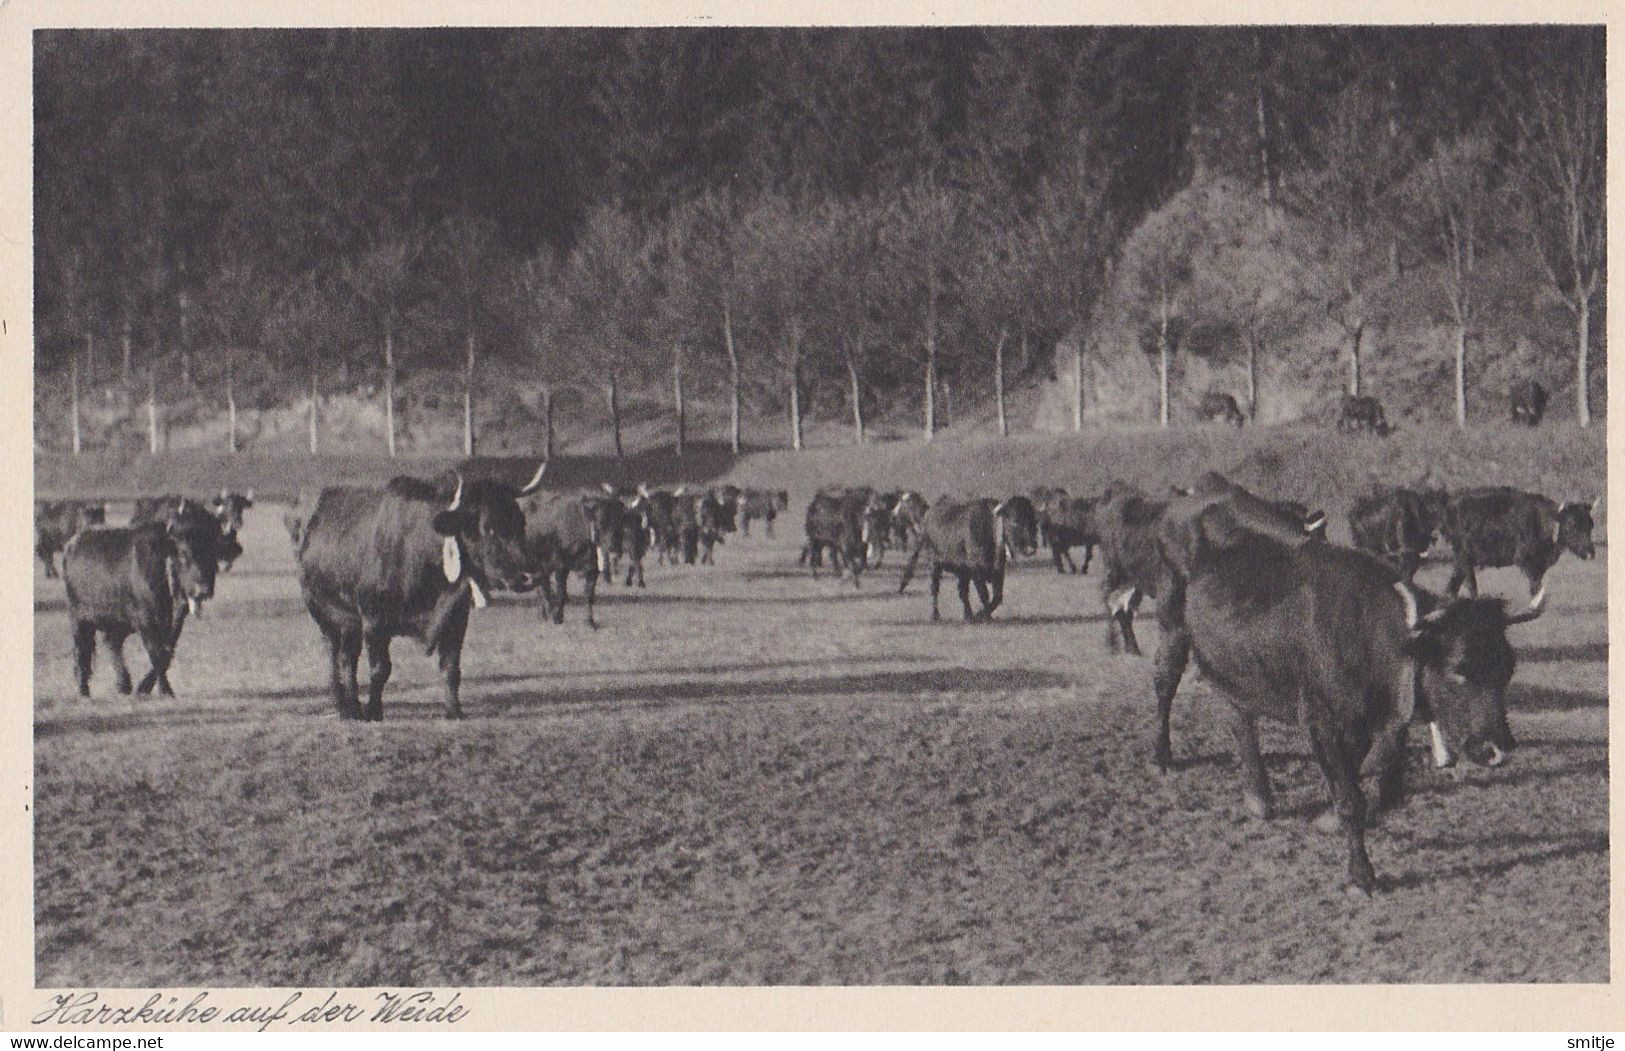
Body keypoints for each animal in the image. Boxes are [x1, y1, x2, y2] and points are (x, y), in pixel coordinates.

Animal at [62, 500, 227, 698]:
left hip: (116, 621)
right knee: (81, 649)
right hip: (77, 616)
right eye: (182, 552)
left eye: (212, 551)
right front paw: (165, 690)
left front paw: (145, 687)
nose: (203, 590)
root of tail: (73, 543)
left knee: (112, 644)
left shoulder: (177, 619)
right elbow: (155, 652)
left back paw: (123, 684)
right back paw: (83, 688)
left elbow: (167, 650)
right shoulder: (146, 620)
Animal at [897, 497, 1033, 620]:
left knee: (962, 592)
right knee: (934, 589)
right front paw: (984, 616)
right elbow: (984, 594)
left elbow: (997, 597)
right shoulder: (976, 572)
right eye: (1014, 520)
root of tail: (928, 514)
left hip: (961, 571)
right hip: (934, 565)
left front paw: (980, 615)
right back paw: (935, 615)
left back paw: (968, 615)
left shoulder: (998, 572)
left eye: (1033, 520)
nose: (1031, 547)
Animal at [1150, 497, 1540, 890]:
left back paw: (1258, 797)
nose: (1496, 748)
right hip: (1171, 621)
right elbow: (1352, 799)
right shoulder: (1322, 723)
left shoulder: (1372, 725)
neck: (1371, 635)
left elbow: (1379, 783)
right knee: (1165, 682)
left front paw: (1330, 818)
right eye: (1458, 669)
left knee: (1238, 713)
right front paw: (1360, 874)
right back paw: (1161, 757)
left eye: (1507, 669)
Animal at [1443, 487, 1592, 601]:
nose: (1591, 553)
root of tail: (1451, 502)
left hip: (1463, 559)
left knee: (1453, 584)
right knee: (1469, 583)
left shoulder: (1541, 564)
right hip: (1465, 557)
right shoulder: (1523, 559)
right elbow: (1536, 585)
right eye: (1571, 525)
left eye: (1590, 525)